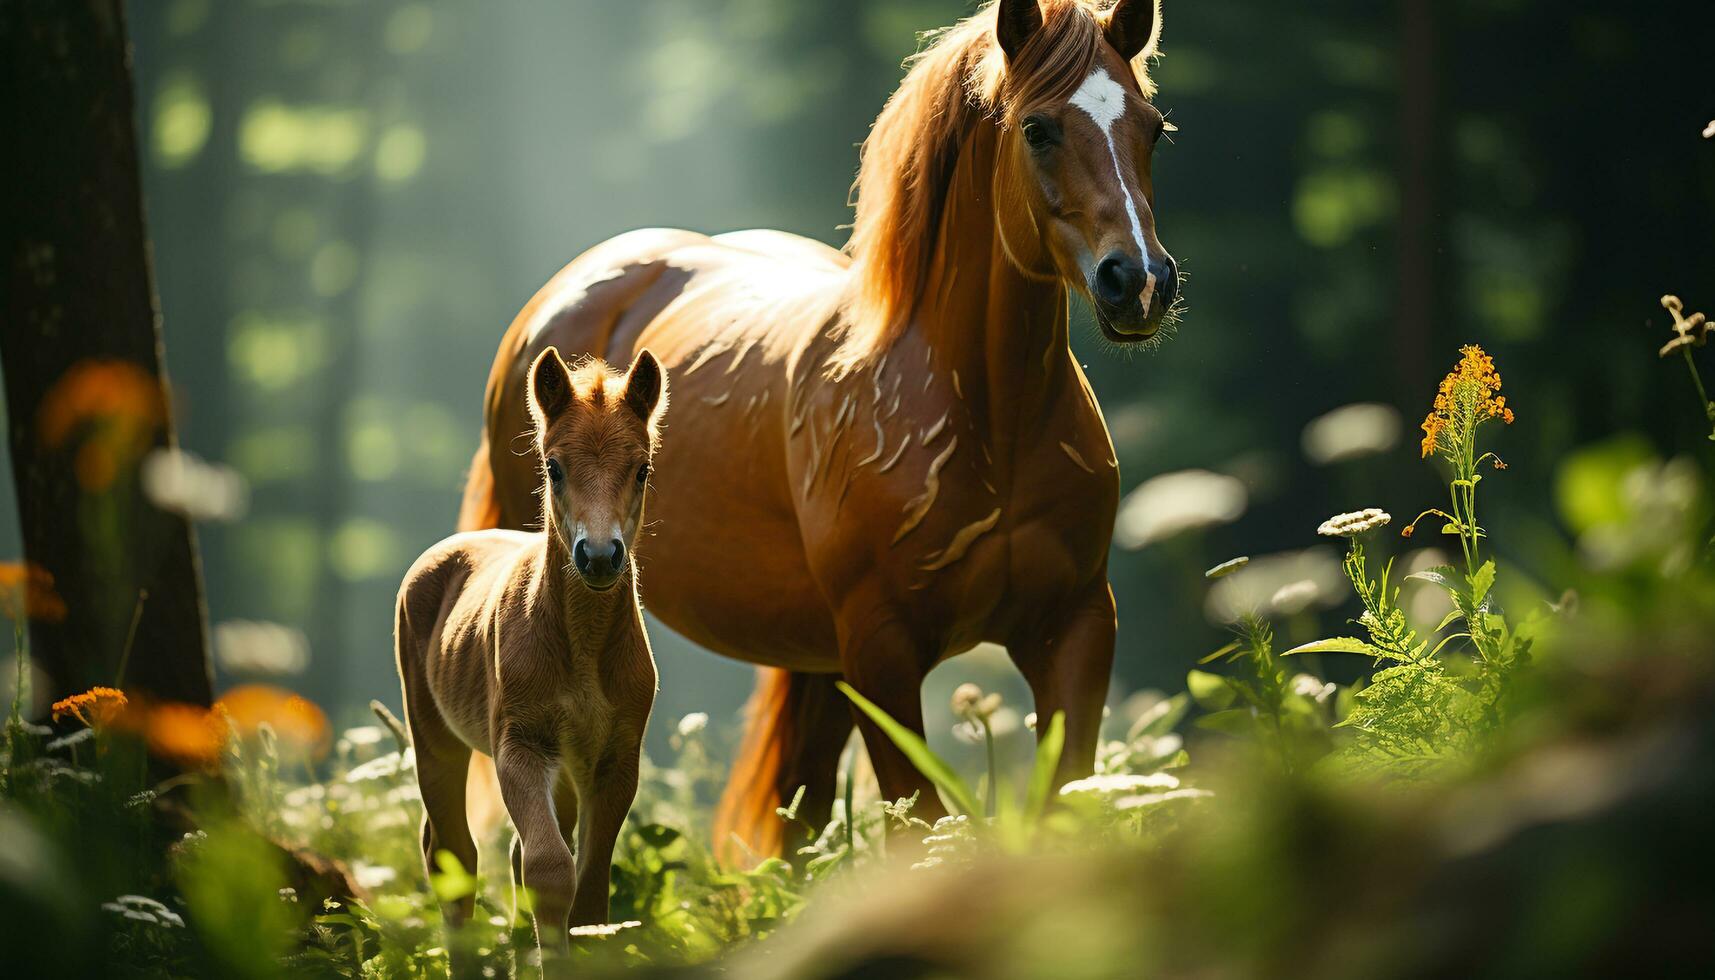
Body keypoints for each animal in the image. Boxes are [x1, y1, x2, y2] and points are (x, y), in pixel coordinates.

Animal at [392, 348, 661, 961]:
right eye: (553, 467)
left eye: (642, 469)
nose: (600, 557)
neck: (581, 649)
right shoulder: (519, 745)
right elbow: (549, 870)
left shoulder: (616, 759)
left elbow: (589, 891)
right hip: (434, 736)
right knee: (451, 852)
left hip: (566, 766)